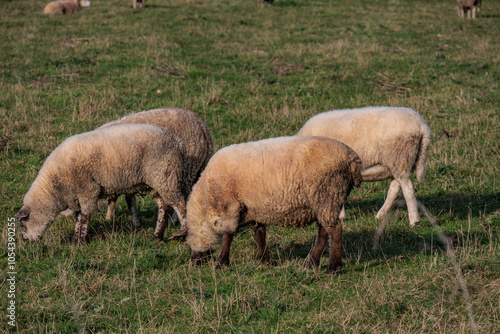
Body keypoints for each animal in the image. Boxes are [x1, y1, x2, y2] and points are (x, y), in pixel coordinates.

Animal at [15, 124, 188, 244]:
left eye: (23, 223)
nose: (25, 241)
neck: (55, 187)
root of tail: (177, 141)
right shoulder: (78, 195)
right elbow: (79, 217)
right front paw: (74, 240)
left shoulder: (88, 190)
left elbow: (85, 216)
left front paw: (82, 241)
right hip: (155, 182)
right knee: (164, 206)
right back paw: (157, 236)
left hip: (166, 176)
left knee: (180, 204)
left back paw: (182, 232)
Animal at [170, 136, 362, 274]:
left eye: (187, 242)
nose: (195, 262)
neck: (208, 199)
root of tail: (352, 159)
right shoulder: (255, 209)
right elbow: (259, 234)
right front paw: (264, 260)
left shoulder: (230, 205)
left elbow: (228, 234)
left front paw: (222, 263)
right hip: (325, 200)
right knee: (323, 231)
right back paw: (311, 263)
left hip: (327, 194)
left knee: (334, 230)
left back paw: (333, 267)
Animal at [296, 106, 434, 227]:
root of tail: (422, 126)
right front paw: (341, 215)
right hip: (401, 162)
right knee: (394, 188)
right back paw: (380, 215)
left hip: (400, 156)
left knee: (408, 189)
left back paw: (414, 221)